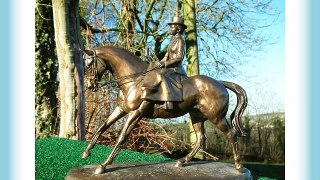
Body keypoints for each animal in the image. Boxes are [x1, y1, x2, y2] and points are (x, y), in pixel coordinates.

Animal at [80, 45, 248, 175]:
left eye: (89, 64)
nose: (90, 86)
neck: (135, 80)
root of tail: (220, 83)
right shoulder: (121, 109)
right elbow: (102, 127)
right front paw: (86, 152)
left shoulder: (136, 113)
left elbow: (122, 137)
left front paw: (103, 166)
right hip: (196, 116)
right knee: (201, 138)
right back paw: (182, 161)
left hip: (216, 117)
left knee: (231, 135)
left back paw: (239, 167)